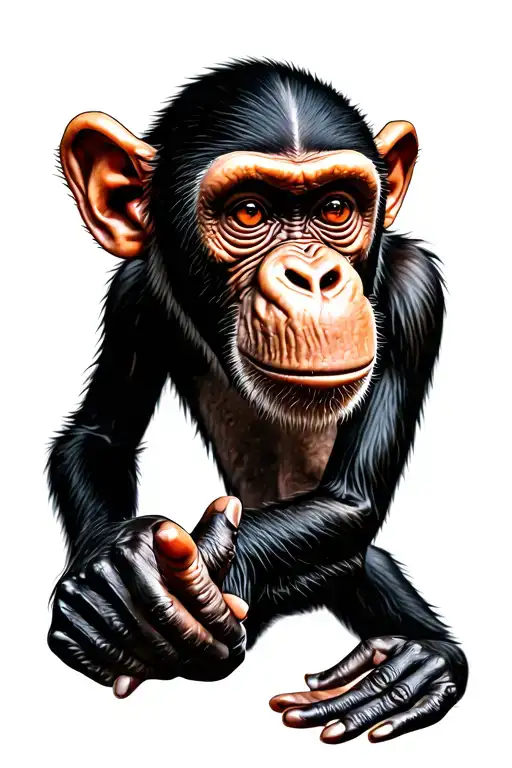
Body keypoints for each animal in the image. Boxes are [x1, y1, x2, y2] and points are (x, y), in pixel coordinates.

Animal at [47, 59, 467, 744]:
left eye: (335, 207)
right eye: (249, 212)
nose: (315, 276)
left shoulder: (415, 293)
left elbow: (349, 501)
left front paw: (169, 577)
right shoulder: (133, 292)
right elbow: (98, 435)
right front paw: (114, 568)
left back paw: (420, 661)